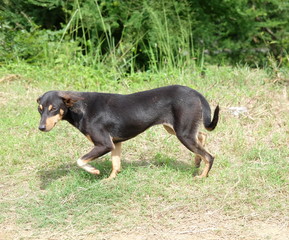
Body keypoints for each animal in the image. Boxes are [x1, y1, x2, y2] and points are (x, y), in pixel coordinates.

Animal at [37, 85, 218, 179]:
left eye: (54, 109)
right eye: (40, 109)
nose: (41, 128)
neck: (80, 108)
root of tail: (194, 92)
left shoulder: (104, 144)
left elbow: (80, 160)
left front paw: (94, 171)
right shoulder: (115, 143)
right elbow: (115, 165)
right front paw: (109, 181)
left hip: (183, 134)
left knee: (209, 156)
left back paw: (202, 176)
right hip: (177, 129)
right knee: (202, 136)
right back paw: (197, 161)